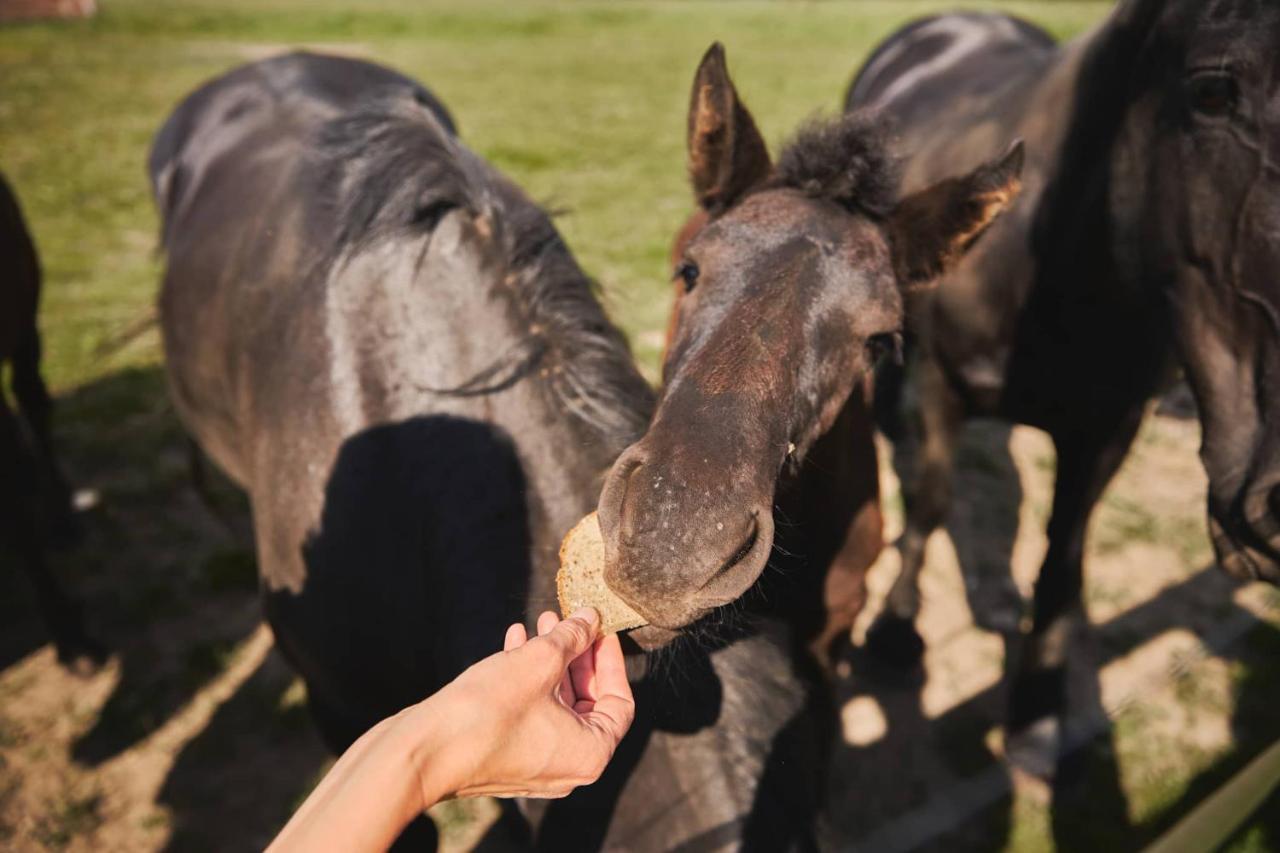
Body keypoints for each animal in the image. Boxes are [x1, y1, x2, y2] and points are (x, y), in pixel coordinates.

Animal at [844, 0, 1280, 742]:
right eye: (1213, 92)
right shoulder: (943, 386)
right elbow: (932, 503)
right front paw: (896, 632)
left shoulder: (1107, 429)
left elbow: (1062, 551)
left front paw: (1041, 694)